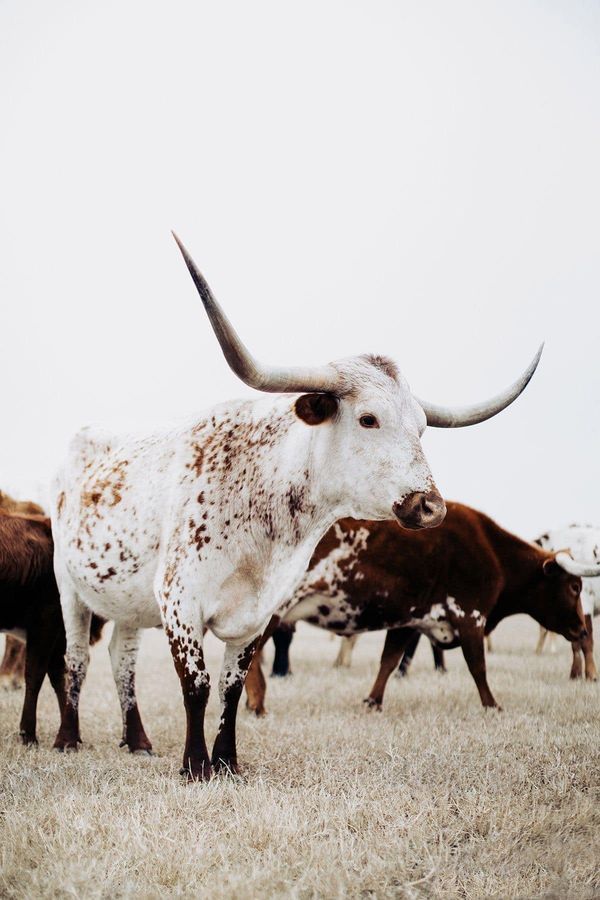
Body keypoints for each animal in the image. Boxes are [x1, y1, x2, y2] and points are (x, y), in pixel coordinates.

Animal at [245, 502, 592, 712]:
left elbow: (389, 660)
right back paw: (257, 703)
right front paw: (492, 705)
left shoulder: (408, 622)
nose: (582, 628)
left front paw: (373, 701)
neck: (494, 553)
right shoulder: (471, 617)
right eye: (574, 587)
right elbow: (478, 666)